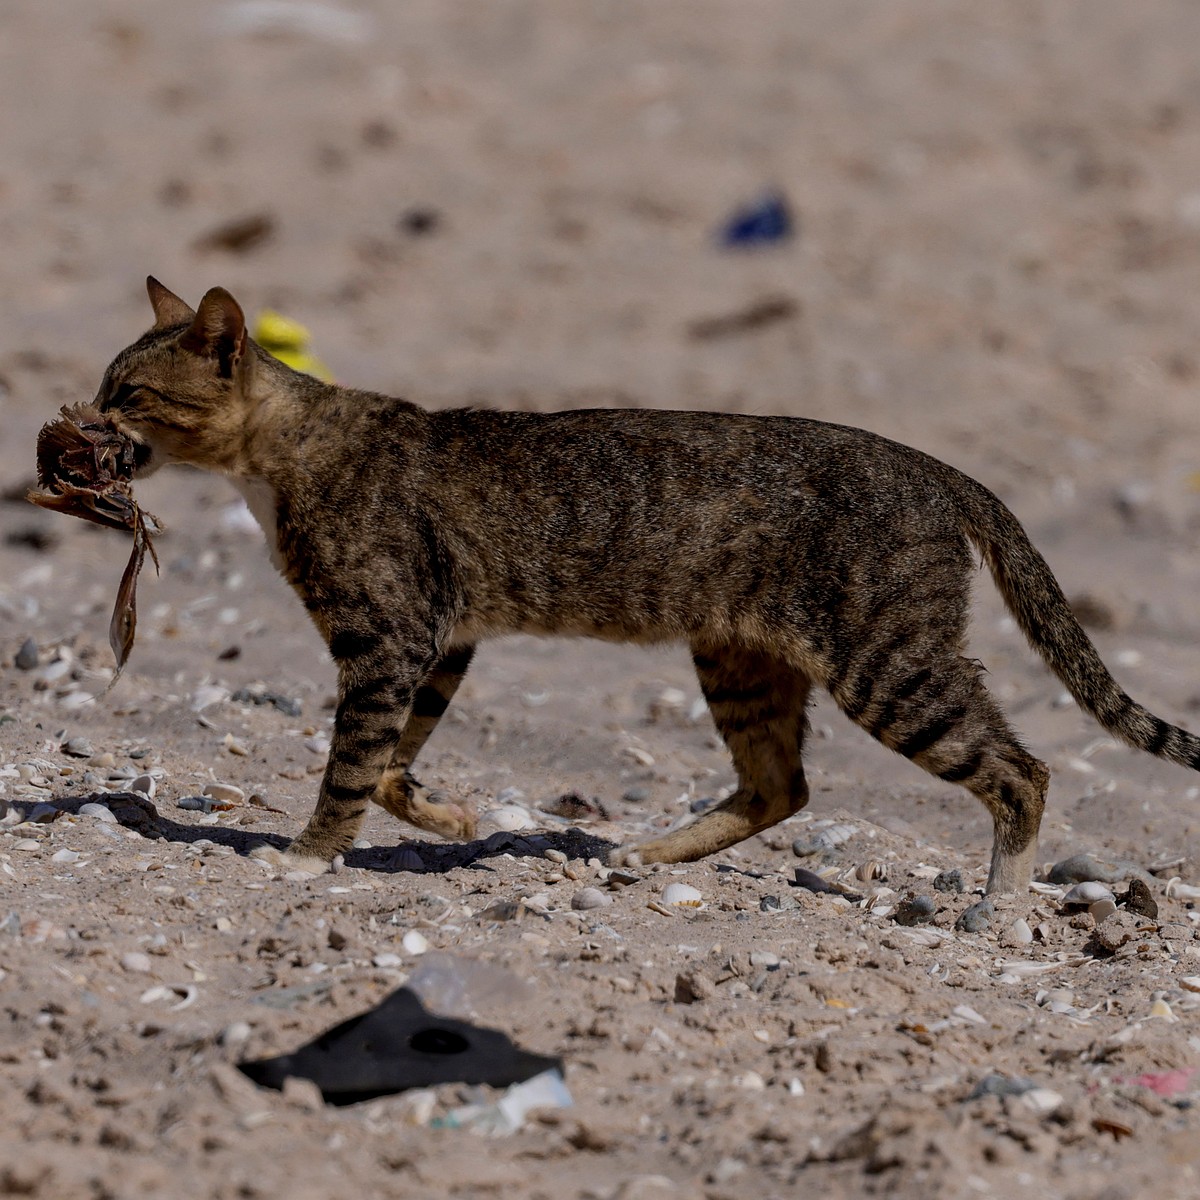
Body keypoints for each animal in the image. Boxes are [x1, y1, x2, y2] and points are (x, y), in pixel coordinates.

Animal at [84, 278, 1200, 892]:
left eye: (129, 393)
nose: (82, 421)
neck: (281, 458)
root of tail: (940, 468)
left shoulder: (390, 638)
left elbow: (352, 767)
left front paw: (307, 857)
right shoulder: (440, 641)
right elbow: (396, 765)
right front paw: (453, 822)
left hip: (889, 666)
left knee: (1022, 771)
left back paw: (996, 908)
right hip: (742, 660)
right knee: (782, 785)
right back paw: (643, 857)